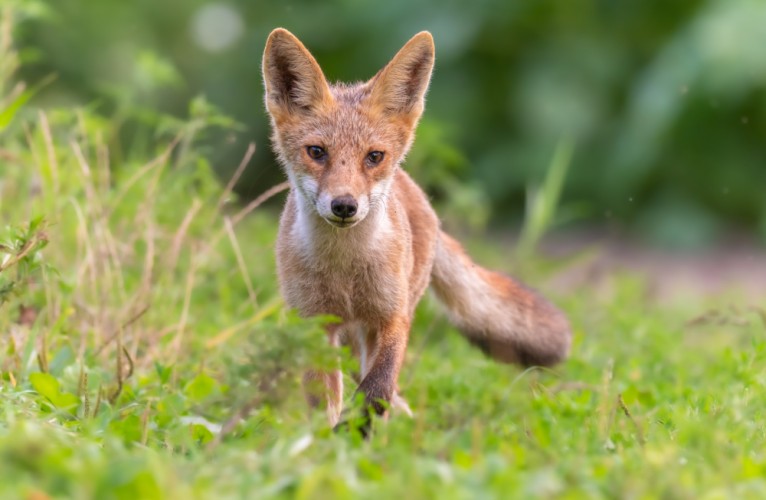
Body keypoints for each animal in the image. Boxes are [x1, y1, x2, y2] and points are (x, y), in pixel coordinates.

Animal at [262, 29, 568, 432]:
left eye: (374, 157)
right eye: (316, 152)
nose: (344, 205)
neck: (345, 271)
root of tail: (419, 195)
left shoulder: (392, 315)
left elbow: (377, 386)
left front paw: (359, 430)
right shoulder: (314, 321)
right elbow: (323, 398)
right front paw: (325, 438)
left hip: (385, 317)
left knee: (383, 385)